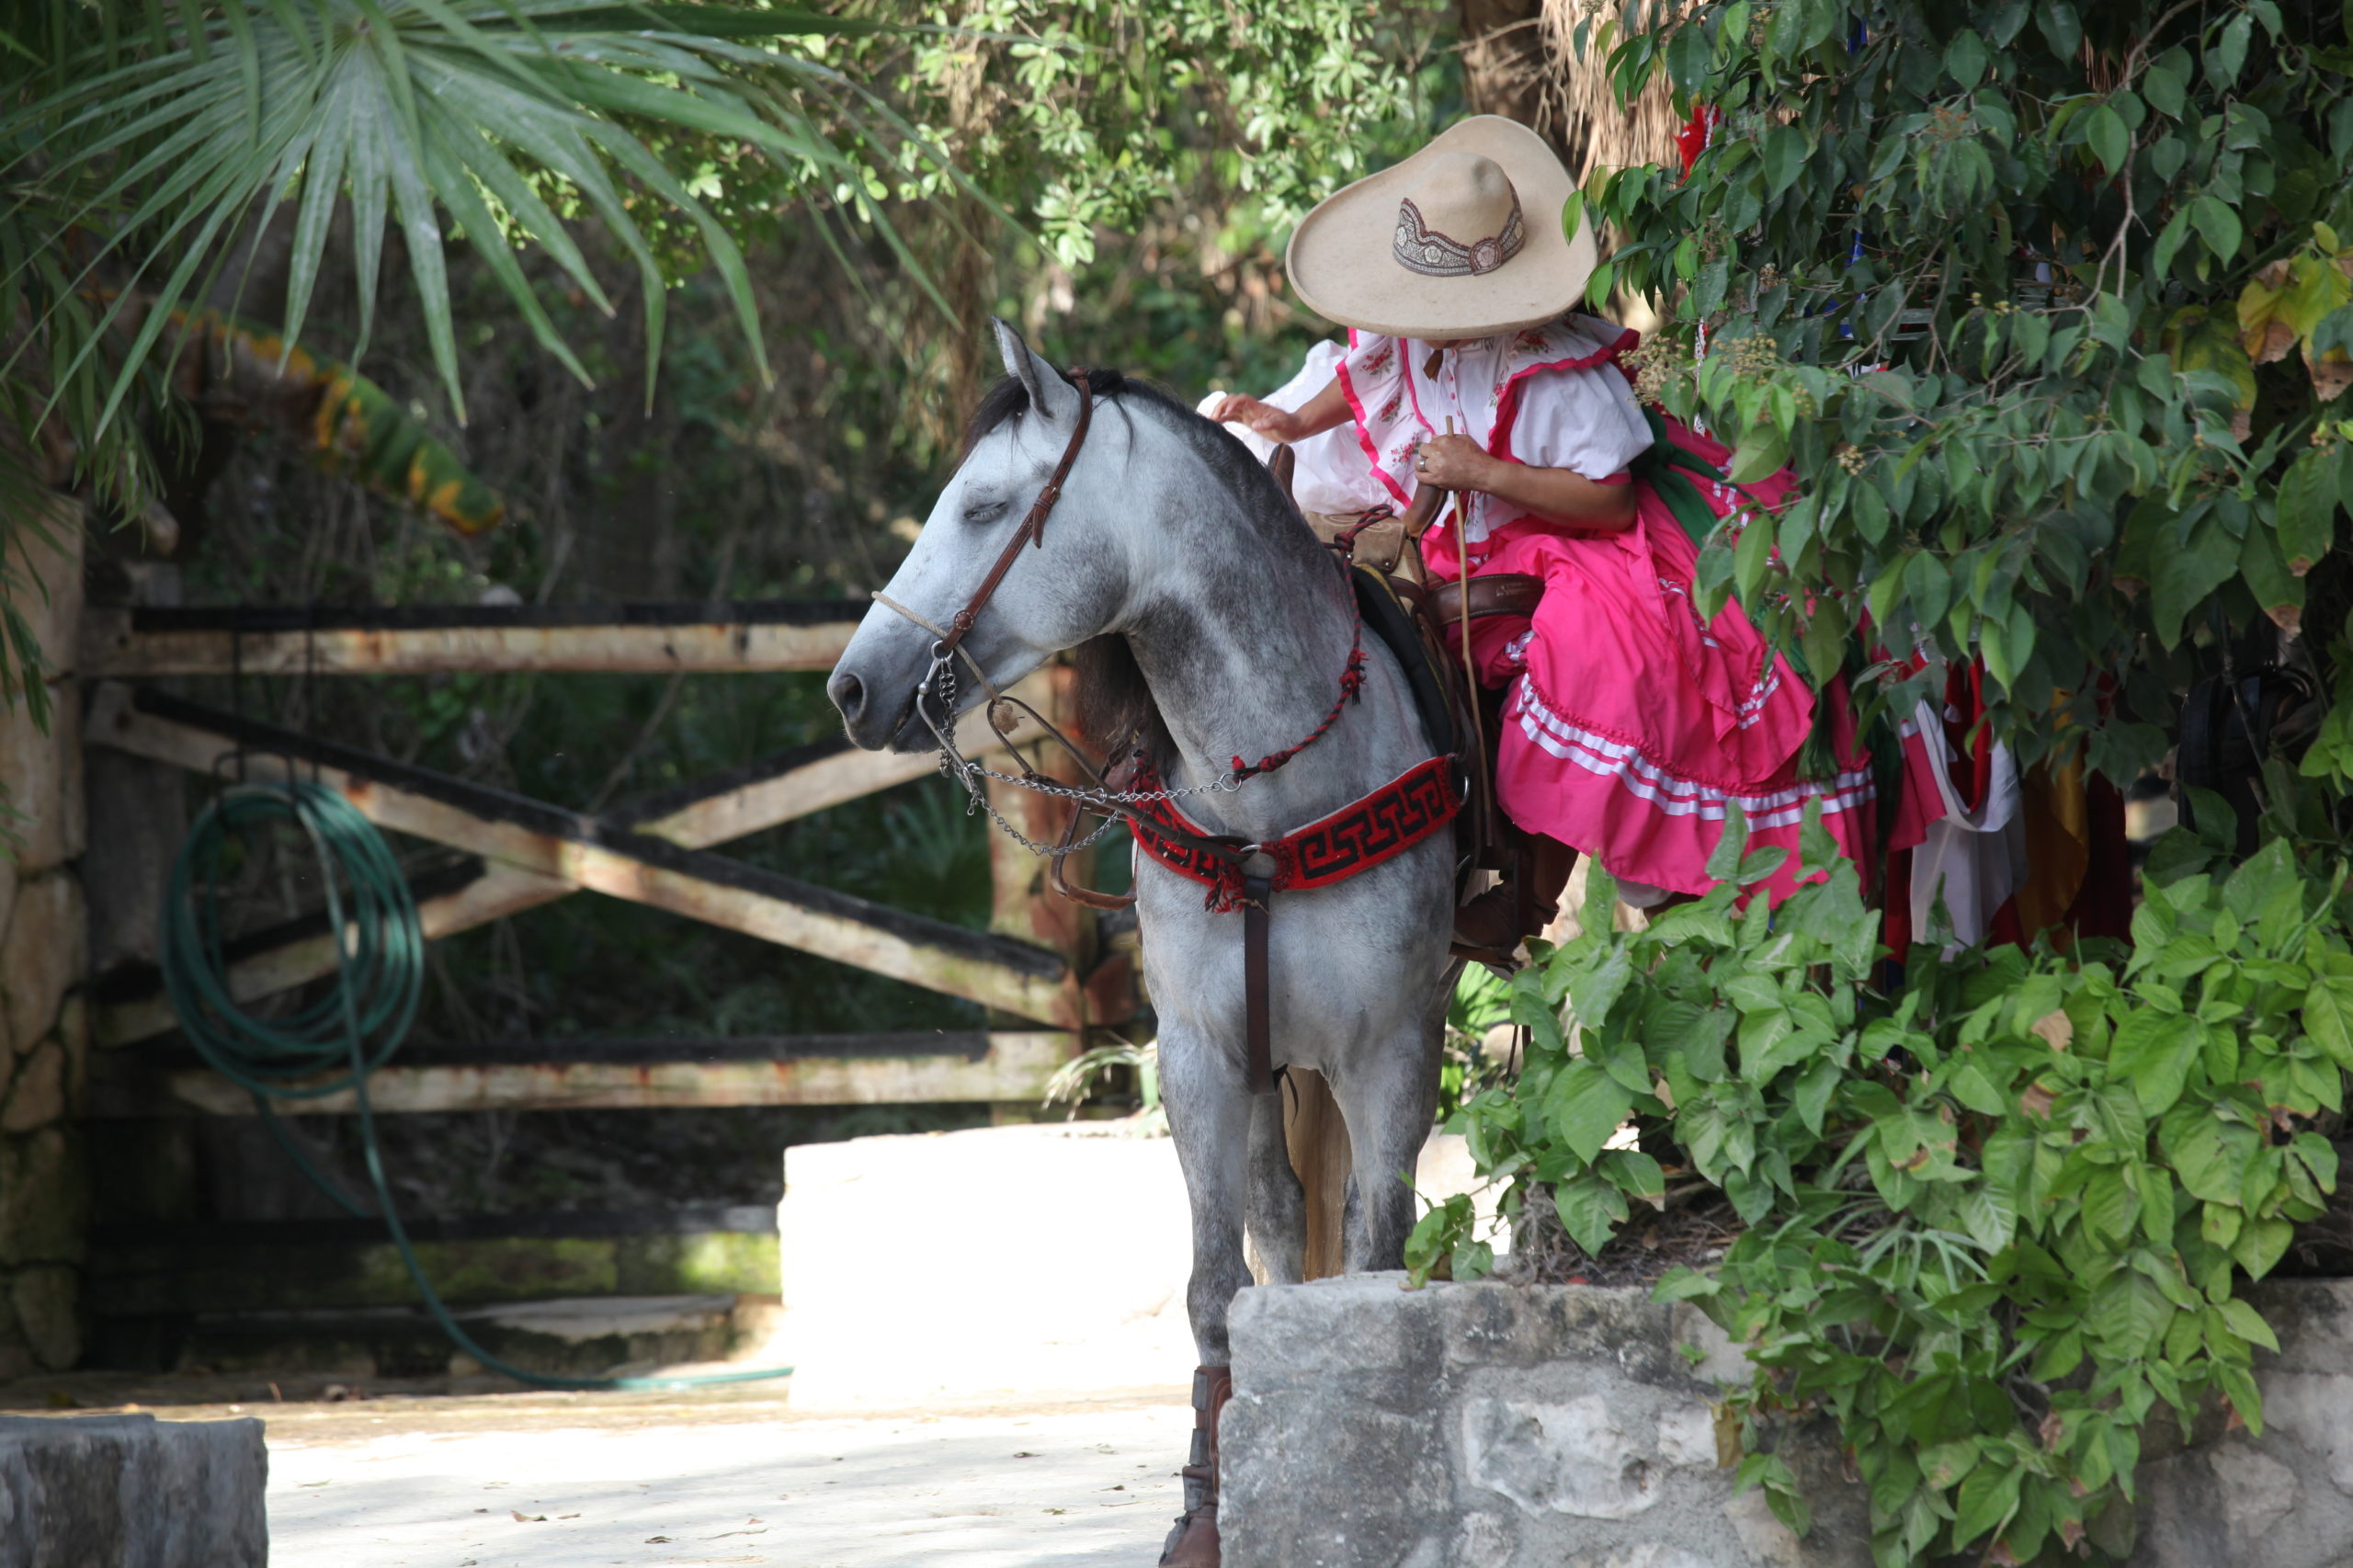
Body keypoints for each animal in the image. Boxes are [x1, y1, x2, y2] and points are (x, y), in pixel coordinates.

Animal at [828, 322, 1449, 1553]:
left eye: (982, 505)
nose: (854, 686)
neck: (1275, 791)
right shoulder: (1203, 1056)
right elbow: (1217, 1286)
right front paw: (1208, 1511)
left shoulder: (1392, 1051)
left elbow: (1374, 1258)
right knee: (1274, 1229)